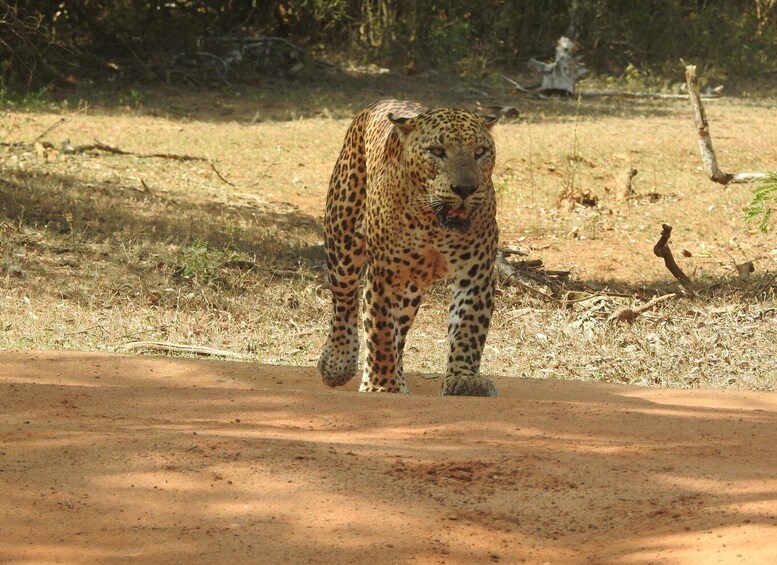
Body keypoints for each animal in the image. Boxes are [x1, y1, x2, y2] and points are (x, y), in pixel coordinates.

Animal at [317, 100, 499, 396]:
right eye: (437, 151)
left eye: (480, 151)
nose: (465, 189)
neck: (432, 223)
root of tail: (379, 103)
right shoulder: (383, 275)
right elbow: (379, 329)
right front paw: (382, 385)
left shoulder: (476, 273)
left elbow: (468, 327)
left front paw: (464, 379)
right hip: (342, 242)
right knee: (344, 303)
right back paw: (337, 362)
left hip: (410, 289)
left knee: (399, 330)